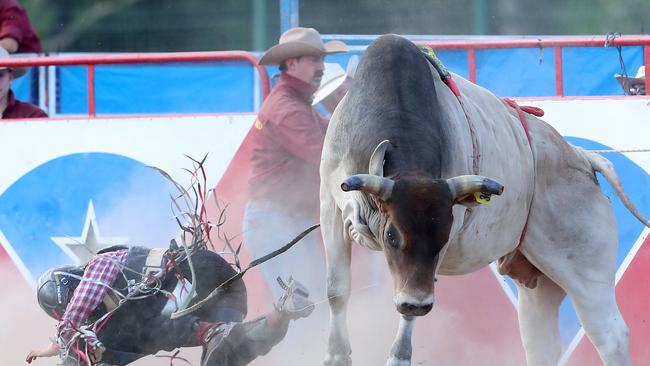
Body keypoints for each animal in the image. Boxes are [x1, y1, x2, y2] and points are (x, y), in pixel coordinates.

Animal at [318, 33, 648, 364]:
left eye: (443, 237)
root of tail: (583, 157)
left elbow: (412, 297)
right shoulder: (330, 206)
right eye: (390, 235)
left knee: (610, 335)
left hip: (586, 272)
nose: (416, 303)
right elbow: (336, 289)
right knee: (542, 345)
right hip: (539, 285)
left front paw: (398, 355)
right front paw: (336, 355)